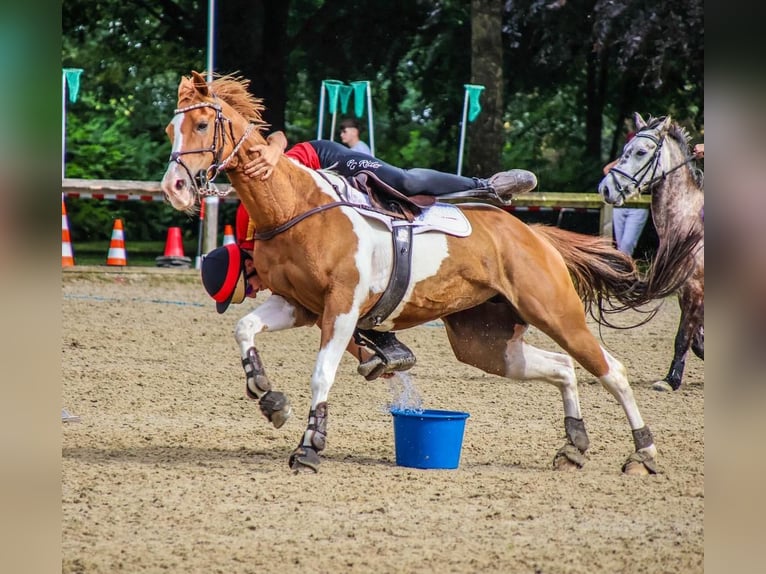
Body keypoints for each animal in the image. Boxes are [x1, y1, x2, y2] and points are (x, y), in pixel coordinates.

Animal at [600, 112, 708, 392]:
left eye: (640, 151)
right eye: (624, 150)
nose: (605, 188)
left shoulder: (695, 288)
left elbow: (683, 335)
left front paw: (670, 381)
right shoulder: (686, 289)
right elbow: (694, 337)